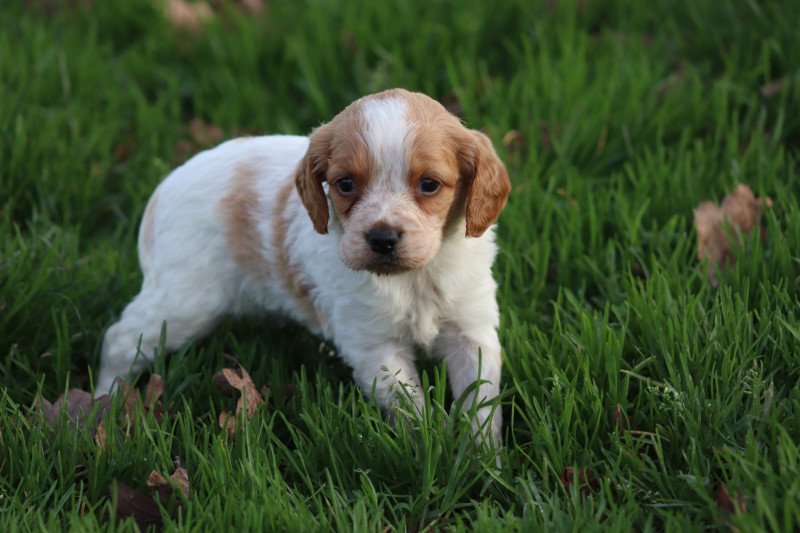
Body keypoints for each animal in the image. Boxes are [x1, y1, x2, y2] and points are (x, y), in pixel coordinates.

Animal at [97, 88, 510, 444]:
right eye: (344, 184)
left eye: (429, 184)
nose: (381, 238)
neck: (414, 278)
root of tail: (162, 190)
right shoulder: (375, 347)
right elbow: (410, 409)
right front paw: (429, 445)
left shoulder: (471, 332)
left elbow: (482, 404)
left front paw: (482, 462)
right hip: (184, 302)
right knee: (120, 339)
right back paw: (105, 405)